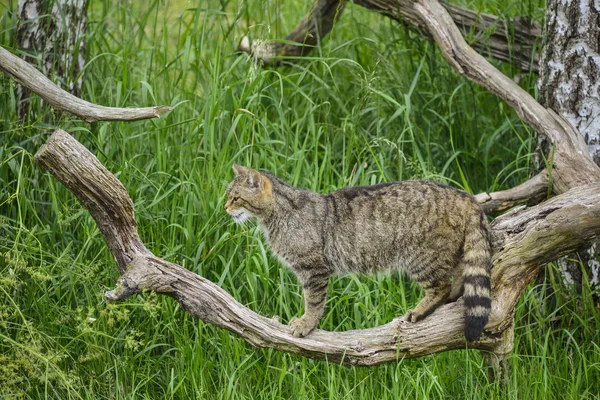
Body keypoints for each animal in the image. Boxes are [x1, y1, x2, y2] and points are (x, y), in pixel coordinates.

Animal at [225, 163, 492, 340]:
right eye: (228, 196)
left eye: (236, 198)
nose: (225, 207)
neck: (276, 216)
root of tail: (465, 196)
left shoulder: (314, 269)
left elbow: (313, 301)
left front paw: (305, 324)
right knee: (460, 274)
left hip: (422, 257)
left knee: (441, 286)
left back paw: (420, 310)